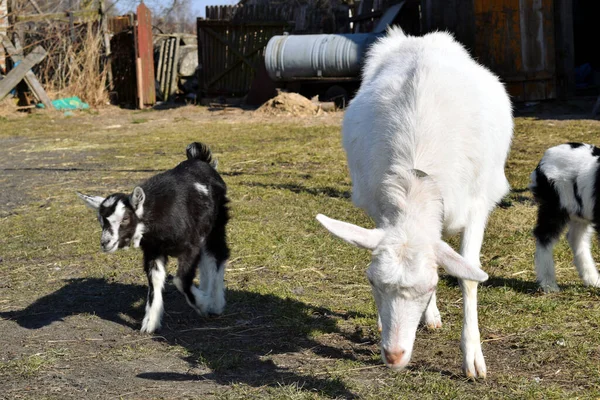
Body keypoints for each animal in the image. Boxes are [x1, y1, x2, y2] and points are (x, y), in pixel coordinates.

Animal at [77, 142, 230, 332]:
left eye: (125, 218)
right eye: (100, 220)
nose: (105, 243)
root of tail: (200, 160)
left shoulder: (190, 247)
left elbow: (180, 280)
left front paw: (203, 303)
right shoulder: (153, 250)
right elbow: (155, 280)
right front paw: (150, 323)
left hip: (217, 224)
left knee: (218, 254)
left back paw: (215, 303)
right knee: (206, 259)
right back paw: (206, 290)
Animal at [316, 26, 512, 376]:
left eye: (430, 286)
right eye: (372, 282)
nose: (394, 356)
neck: (416, 182)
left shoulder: (477, 204)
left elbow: (468, 275)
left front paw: (473, 357)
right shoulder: (381, 208)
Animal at [528, 142, 600, 292]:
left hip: (581, 211)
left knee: (576, 239)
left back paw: (592, 280)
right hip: (554, 205)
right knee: (544, 236)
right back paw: (549, 284)